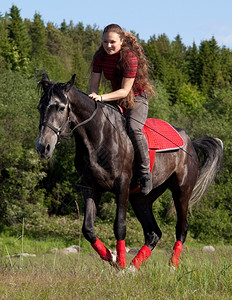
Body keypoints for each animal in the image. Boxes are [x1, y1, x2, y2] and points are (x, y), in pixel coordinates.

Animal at [35, 74, 223, 270]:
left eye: (60, 107)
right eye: (40, 107)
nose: (43, 147)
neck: (99, 137)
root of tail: (190, 142)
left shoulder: (122, 187)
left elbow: (119, 226)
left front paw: (121, 265)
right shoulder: (90, 188)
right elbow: (88, 229)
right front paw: (111, 257)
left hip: (182, 191)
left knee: (181, 228)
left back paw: (171, 266)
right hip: (141, 199)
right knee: (153, 233)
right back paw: (134, 267)